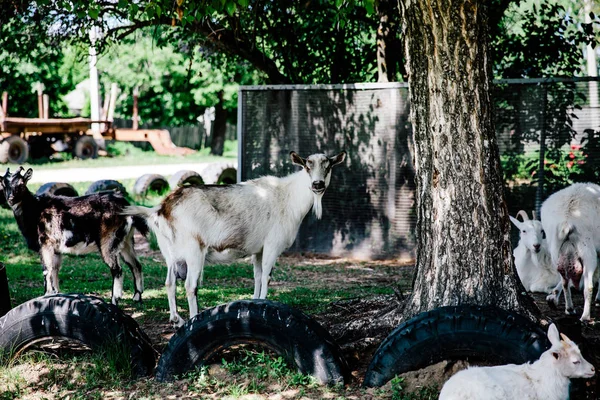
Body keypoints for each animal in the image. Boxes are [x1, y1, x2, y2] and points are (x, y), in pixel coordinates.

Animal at [0, 167, 148, 304]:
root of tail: (125, 204)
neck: (35, 210)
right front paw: (56, 294)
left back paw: (114, 299)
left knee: (117, 269)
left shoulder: (45, 244)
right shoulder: (56, 249)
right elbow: (55, 270)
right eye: (3, 184)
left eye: (21, 184)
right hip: (126, 240)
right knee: (136, 265)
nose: (11, 199)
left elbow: (47, 270)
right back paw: (137, 297)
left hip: (109, 240)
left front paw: (46, 295)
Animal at [122, 150, 346, 324]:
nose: (317, 184)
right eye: (307, 167)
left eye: (328, 167)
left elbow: (257, 276)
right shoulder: (272, 245)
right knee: (189, 285)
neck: (287, 197)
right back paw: (192, 319)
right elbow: (267, 275)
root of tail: (161, 208)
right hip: (194, 251)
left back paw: (176, 319)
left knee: (169, 282)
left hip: (170, 253)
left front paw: (256, 302)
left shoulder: (258, 250)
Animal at [548, 183, 600, 320]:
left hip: (555, 250)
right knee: (588, 286)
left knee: (564, 280)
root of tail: (568, 219)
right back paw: (585, 317)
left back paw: (569, 308)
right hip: (587, 251)